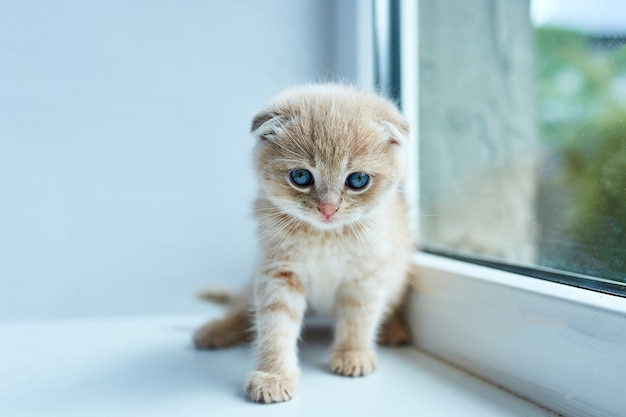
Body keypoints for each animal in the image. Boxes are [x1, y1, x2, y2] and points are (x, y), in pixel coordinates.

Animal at [193, 84, 412, 404]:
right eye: (300, 176)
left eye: (358, 180)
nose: (328, 209)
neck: (325, 236)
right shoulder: (279, 273)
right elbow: (275, 326)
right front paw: (274, 375)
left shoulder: (366, 275)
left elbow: (359, 318)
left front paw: (353, 354)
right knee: (241, 307)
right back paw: (216, 330)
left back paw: (394, 328)